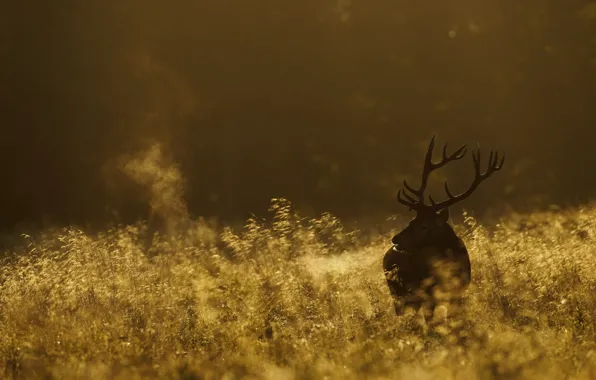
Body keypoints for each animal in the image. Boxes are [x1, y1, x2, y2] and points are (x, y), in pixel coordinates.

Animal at [384, 137, 506, 320]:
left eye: (424, 226)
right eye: (412, 220)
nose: (395, 239)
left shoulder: (459, 291)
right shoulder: (428, 294)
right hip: (399, 293)